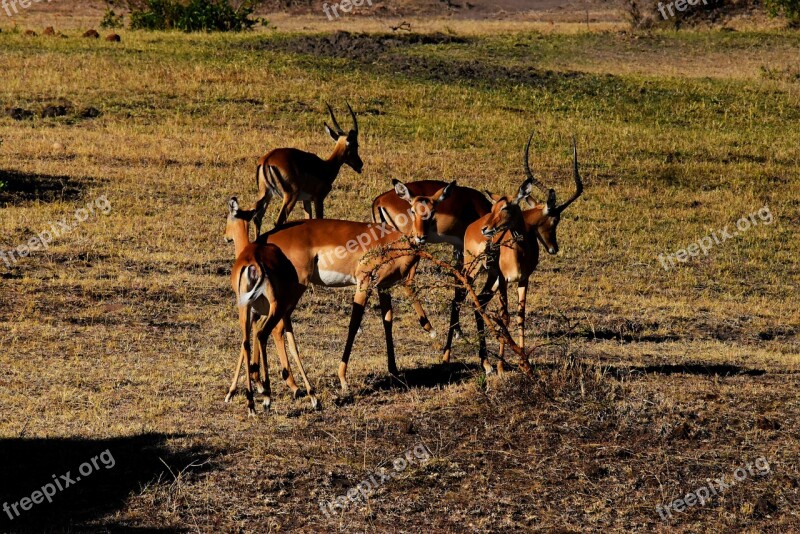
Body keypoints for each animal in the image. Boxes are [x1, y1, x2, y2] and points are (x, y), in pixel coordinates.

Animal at [223, 199, 318, 416]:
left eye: (228, 218)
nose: (225, 236)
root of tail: (254, 263)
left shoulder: (255, 313)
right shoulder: (259, 313)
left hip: (269, 310)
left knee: (258, 337)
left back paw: (262, 399)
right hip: (274, 311)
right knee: (262, 338)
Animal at [253, 102, 362, 234]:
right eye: (356, 145)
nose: (360, 164)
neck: (326, 167)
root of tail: (267, 159)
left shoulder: (306, 200)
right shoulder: (319, 198)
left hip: (265, 193)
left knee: (257, 218)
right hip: (290, 196)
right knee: (278, 221)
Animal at [370, 178, 490, 358]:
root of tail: (379, 200)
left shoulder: (458, 249)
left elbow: (458, 286)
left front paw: (458, 331)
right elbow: (462, 288)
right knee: (407, 282)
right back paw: (430, 328)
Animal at [462, 136, 580, 374]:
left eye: (506, 207)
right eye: (556, 219)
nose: (554, 248)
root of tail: (472, 226)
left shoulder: (523, 279)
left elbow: (520, 317)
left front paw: (524, 363)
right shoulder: (504, 279)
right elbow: (504, 316)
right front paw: (501, 367)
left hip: (490, 279)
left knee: (479, 303)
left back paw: (485, 363)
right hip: (473, 270)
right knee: (464, 299)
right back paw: (482, 363)